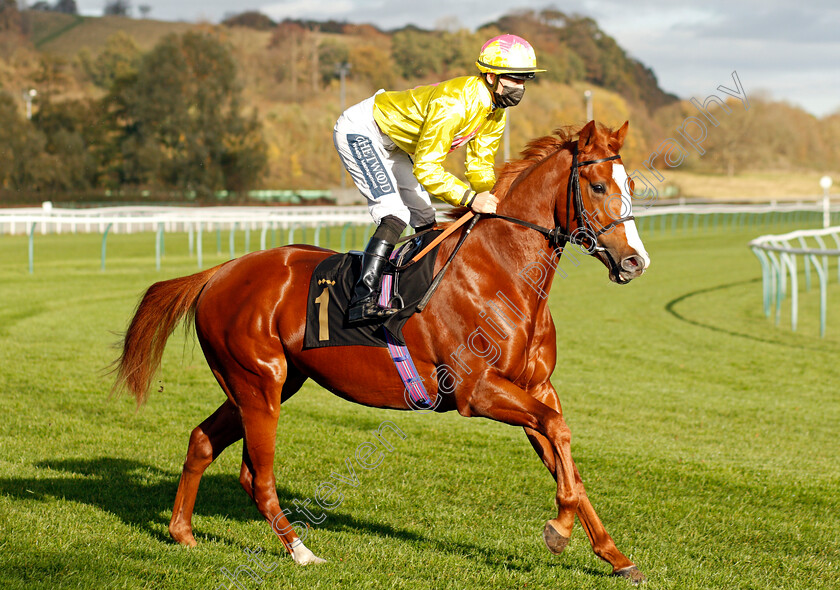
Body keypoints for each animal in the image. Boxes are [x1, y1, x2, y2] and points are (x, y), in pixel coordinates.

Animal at [111, 121, 648, 588]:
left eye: (631, 186)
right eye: (598, 186)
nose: (635, 262)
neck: (501, 275)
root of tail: (219, 272)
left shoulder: (535, 387)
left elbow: (565, 453)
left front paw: (615, 555)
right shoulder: (478, 392)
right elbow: (558, 432)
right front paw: (559, 531)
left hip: (263, 384)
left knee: (202, 441)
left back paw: (182, 532)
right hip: (258, 384)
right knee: (256, 475)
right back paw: (301, 551)